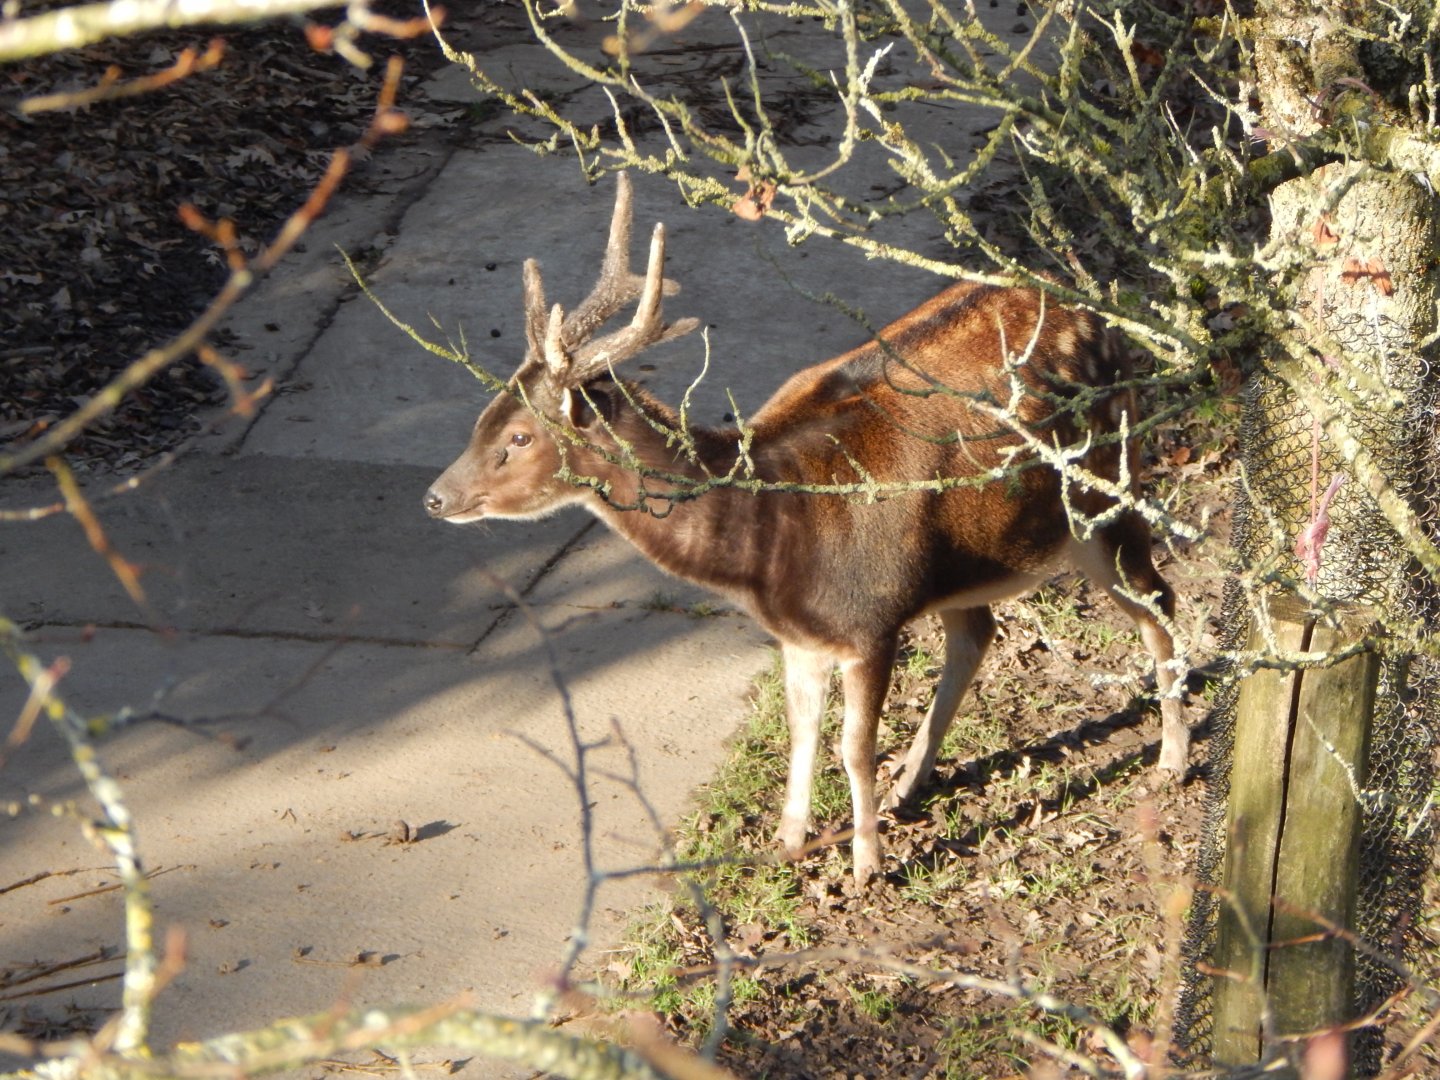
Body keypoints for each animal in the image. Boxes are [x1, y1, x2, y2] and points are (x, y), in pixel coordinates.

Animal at [423, 173, 1186, 886]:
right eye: (485, 416)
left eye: (520, 437)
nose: (435, 498)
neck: (769, 546)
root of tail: (1102, 318)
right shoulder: (798, 633)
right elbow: (802, 730)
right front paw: (789, 842)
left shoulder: (871, 619)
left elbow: (852, 747)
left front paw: (866, 864)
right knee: (978, 632)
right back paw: (913, 782)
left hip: (1109, 481)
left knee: (1158, 599)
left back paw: (1174, 759)